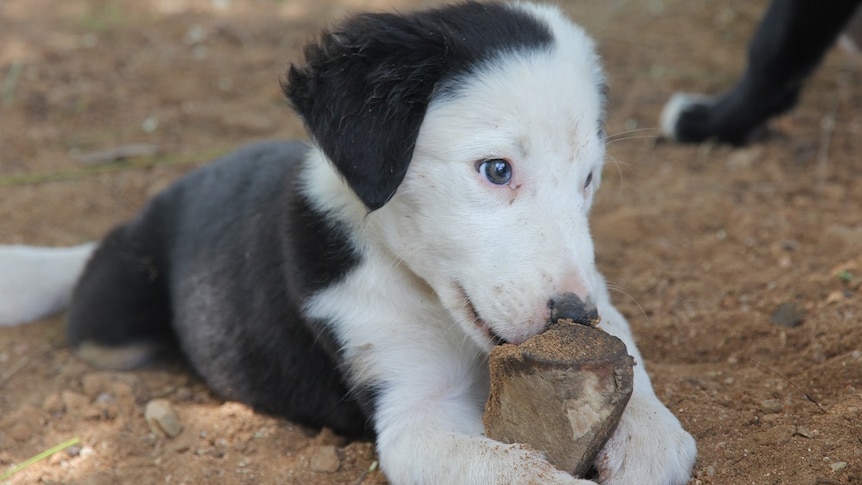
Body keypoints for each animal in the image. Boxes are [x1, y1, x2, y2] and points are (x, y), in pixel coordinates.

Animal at [0, 2, 700, 480]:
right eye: (496, 170)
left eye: (588, 181)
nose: (576, 315)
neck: (423, 292)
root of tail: (163, 200)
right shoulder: (412, 415)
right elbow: (516, 470)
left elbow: (646, 402)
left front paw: (642, 435)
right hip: (111, 324)